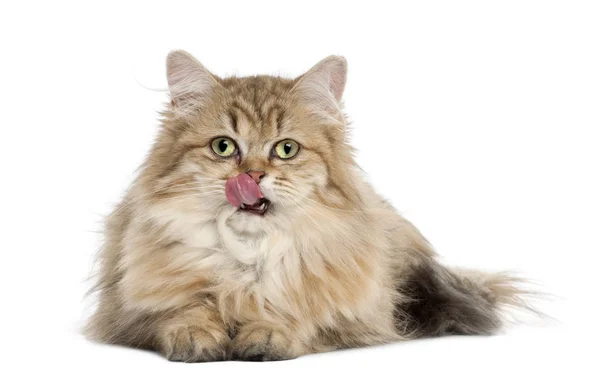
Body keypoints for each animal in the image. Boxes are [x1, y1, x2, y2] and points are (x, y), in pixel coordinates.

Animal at [86, 50, 532, 362]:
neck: (247, 255)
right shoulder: (127, 312)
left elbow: (295, 313)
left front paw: (266, 333)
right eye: (223, 147)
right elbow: (182, 311)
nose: (252, 175)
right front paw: (196, 335)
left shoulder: (350, 313)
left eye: (286, 149)